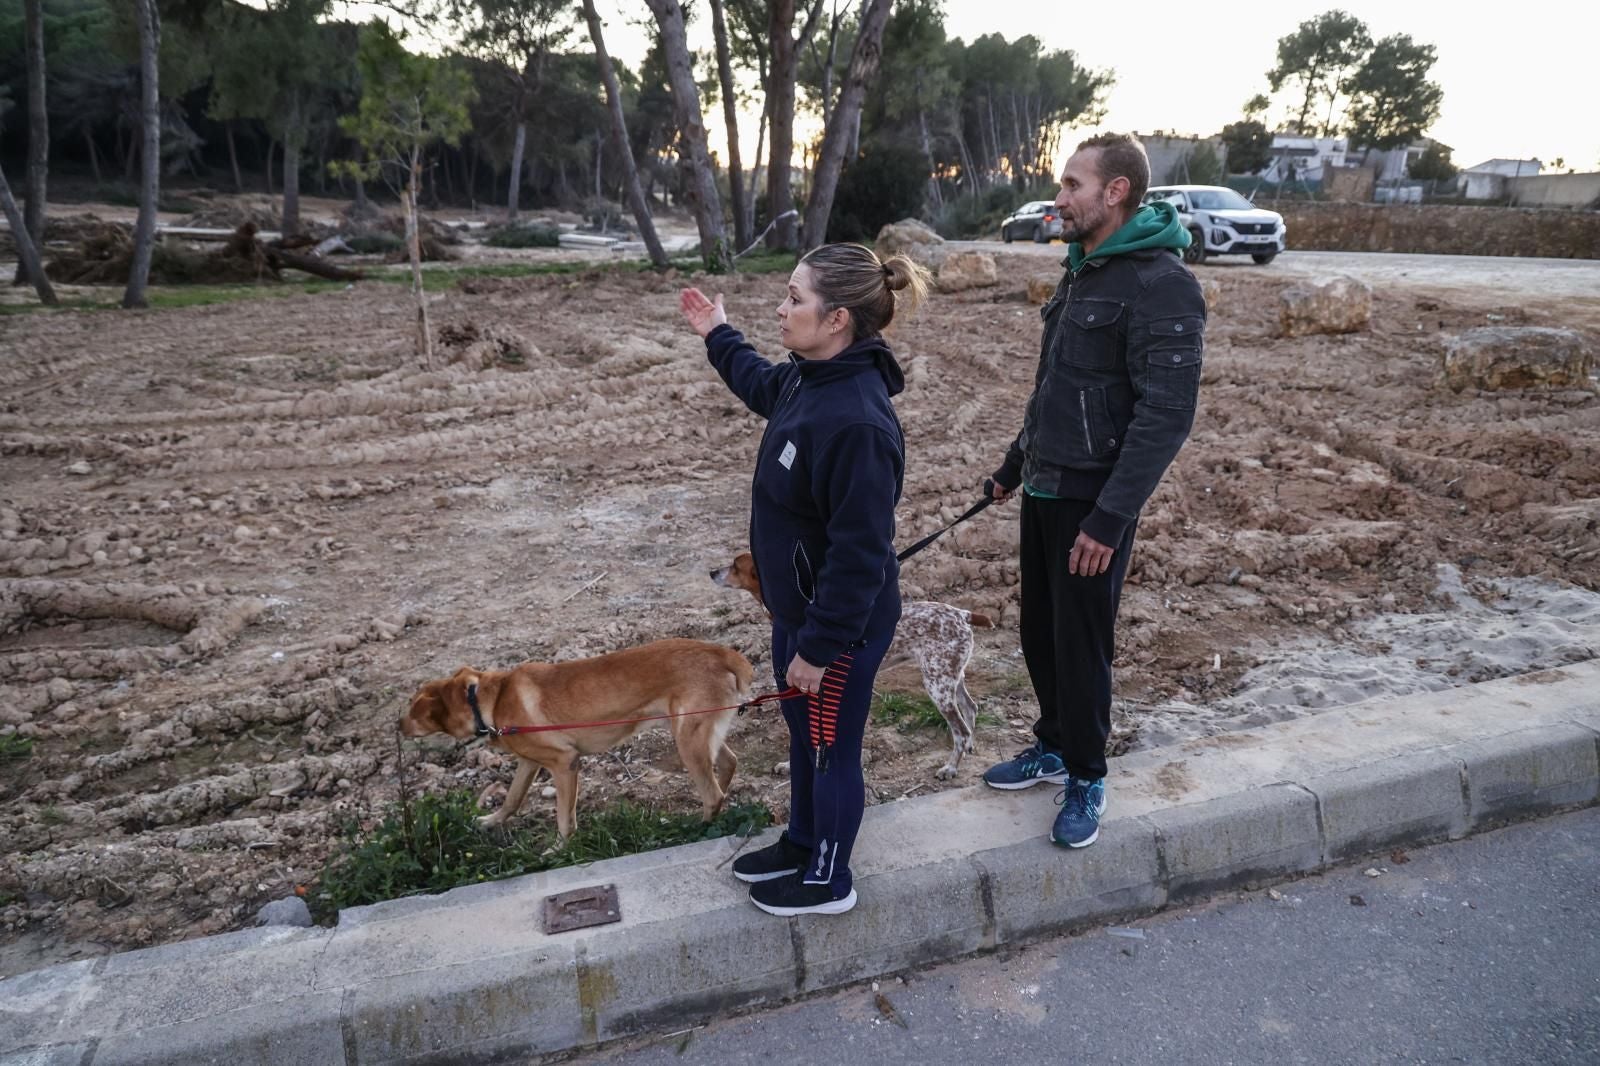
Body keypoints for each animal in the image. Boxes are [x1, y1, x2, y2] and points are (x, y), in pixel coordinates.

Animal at [396, 633, 752, 832]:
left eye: (412, 708)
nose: (396, 726)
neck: (488, 700)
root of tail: (722, 653)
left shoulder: (565, 762)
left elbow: (565, 819)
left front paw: (559, 849)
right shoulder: (529, 763)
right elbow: (512, 798)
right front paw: (492, 821)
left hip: (687, 740)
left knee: (712, 794)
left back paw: (696, 826)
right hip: (692, 731)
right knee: (728, 765)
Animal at [710, 557, 985, 771]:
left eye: (735, 566)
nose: (712, 572)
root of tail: (963, 614)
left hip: (937, 686)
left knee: (960, 730)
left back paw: (951, 767)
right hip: (950, 677)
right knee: (970, 709)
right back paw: (970, 747)